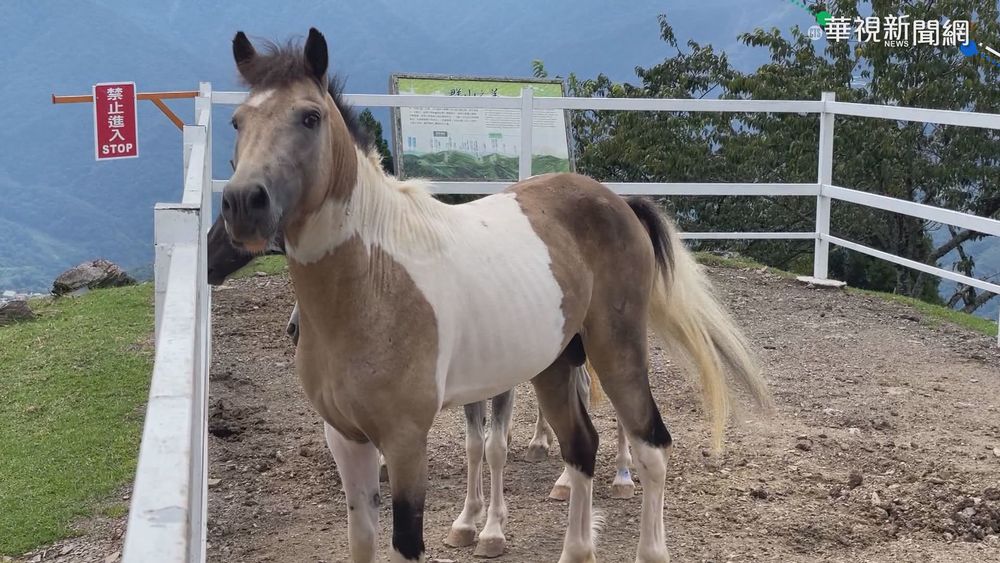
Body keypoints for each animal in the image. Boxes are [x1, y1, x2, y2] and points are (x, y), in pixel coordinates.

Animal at [209, 216, 637, 557]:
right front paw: (467, 522)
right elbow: (474, 446)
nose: (295, 330)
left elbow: (494, 448)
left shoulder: (499, 387)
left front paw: (492, 531)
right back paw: (549, 457)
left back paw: (619, 476)